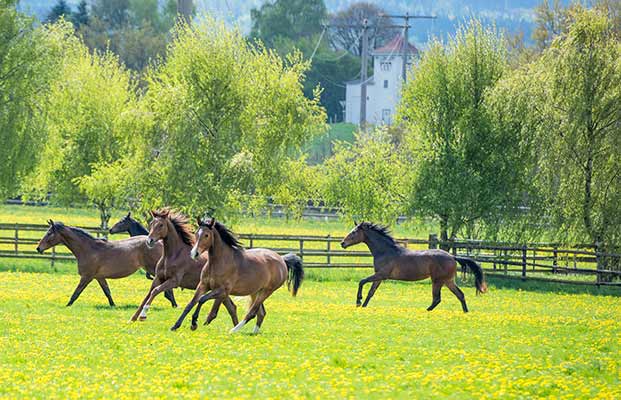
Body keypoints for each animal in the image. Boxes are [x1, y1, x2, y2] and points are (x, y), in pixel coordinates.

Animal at [35, 220, 163, 308]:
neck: (89, 249)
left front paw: (67, 305)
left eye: (49, 233)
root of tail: (159, 242)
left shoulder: (87, 277)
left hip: (153, 268)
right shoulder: (99, 277)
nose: (38, 248)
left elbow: (76, 293)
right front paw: (113, 305)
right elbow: (107, 292)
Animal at [171, 219, 304, 334]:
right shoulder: (203, 285)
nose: (194, 253)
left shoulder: (223, 290)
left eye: (206, 235)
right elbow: (190, 304)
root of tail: (282, 260)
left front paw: (194, 323)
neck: (219, 262)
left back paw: (234, 330)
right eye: (196, 233)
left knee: (252, 312)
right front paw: (175, 326)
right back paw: (253, 333)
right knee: (261, 313)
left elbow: (203, 300)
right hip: (255, 291)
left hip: (267, 291)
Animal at [340, 222, 484, 312]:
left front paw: (358, 301)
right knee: (460, 295)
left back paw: (425, 311)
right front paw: (363, 306)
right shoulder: (379, 277)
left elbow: (362, 281)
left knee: (437, 299)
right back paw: (466, 312)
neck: (385, 251)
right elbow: (371, 292)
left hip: (437, 281)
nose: (342, 243)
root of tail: (453, 257)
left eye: (353, 232)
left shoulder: (381, 274)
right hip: (448, 281)